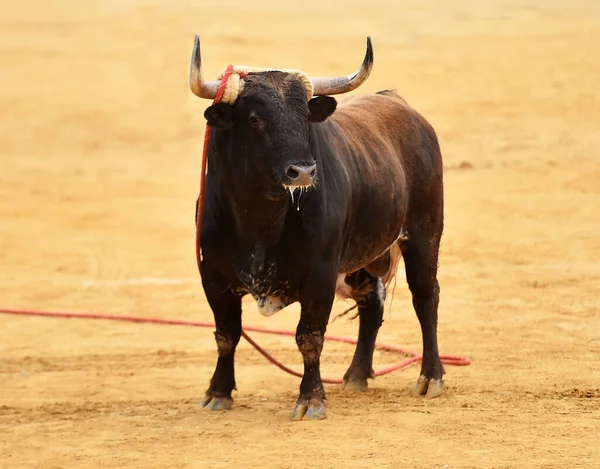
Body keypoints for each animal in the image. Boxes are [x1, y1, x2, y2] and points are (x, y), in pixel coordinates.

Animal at [191, 34, 446, 418]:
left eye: (305, 117)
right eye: (254, 119)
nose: (304, 171)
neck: (260, 222)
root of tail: (401, 106)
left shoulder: (320, 275)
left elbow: (309, 337)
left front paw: (311, 399)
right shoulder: (214, 276)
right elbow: (226, 334)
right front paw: (218, 392)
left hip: (424, 233)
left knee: (425, 298)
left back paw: (431, 377)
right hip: (363, 257)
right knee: (372, 303)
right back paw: (356, 375)